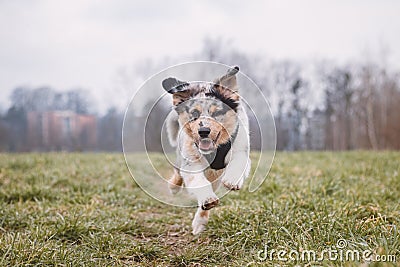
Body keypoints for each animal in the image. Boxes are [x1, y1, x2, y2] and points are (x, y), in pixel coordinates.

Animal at [162, 66, 250, 236]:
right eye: (194, 114)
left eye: (217, 113)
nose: (203, 131)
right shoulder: (191, 160)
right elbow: (198, 181)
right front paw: (207, 198)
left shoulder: (241, 147)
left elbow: (239, 163)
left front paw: (232, 181)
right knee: (178, 173)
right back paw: (174, 187)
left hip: (215, 176)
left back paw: (199, 223)